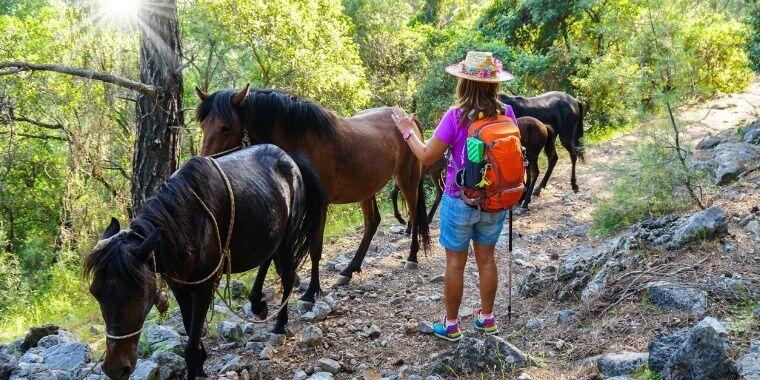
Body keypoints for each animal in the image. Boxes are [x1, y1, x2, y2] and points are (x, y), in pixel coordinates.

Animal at [84, 145, 326, 378]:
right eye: (95, 293)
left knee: (287, 276)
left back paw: (280, 323)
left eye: (137, 295)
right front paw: (201, 364)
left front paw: (196, 366)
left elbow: (191, 347)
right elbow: (190, 329)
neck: (186, 222)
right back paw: (258, 303)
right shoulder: (179, 287)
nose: (115, 369)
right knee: (267, 260)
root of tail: (290, 158)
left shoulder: (203, 286)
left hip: (287, 237)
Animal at [196, 84, 430, 304]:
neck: (301, 140)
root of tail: (409, 120)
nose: (205, 164)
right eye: (203, 125)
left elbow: (315, 249)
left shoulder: (319, 205)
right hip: (366, 189)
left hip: (407, 181)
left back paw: (411, 257)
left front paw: (310, 292)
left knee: (414, 215)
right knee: (372, 223)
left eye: (225, 128)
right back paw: (349, 270)